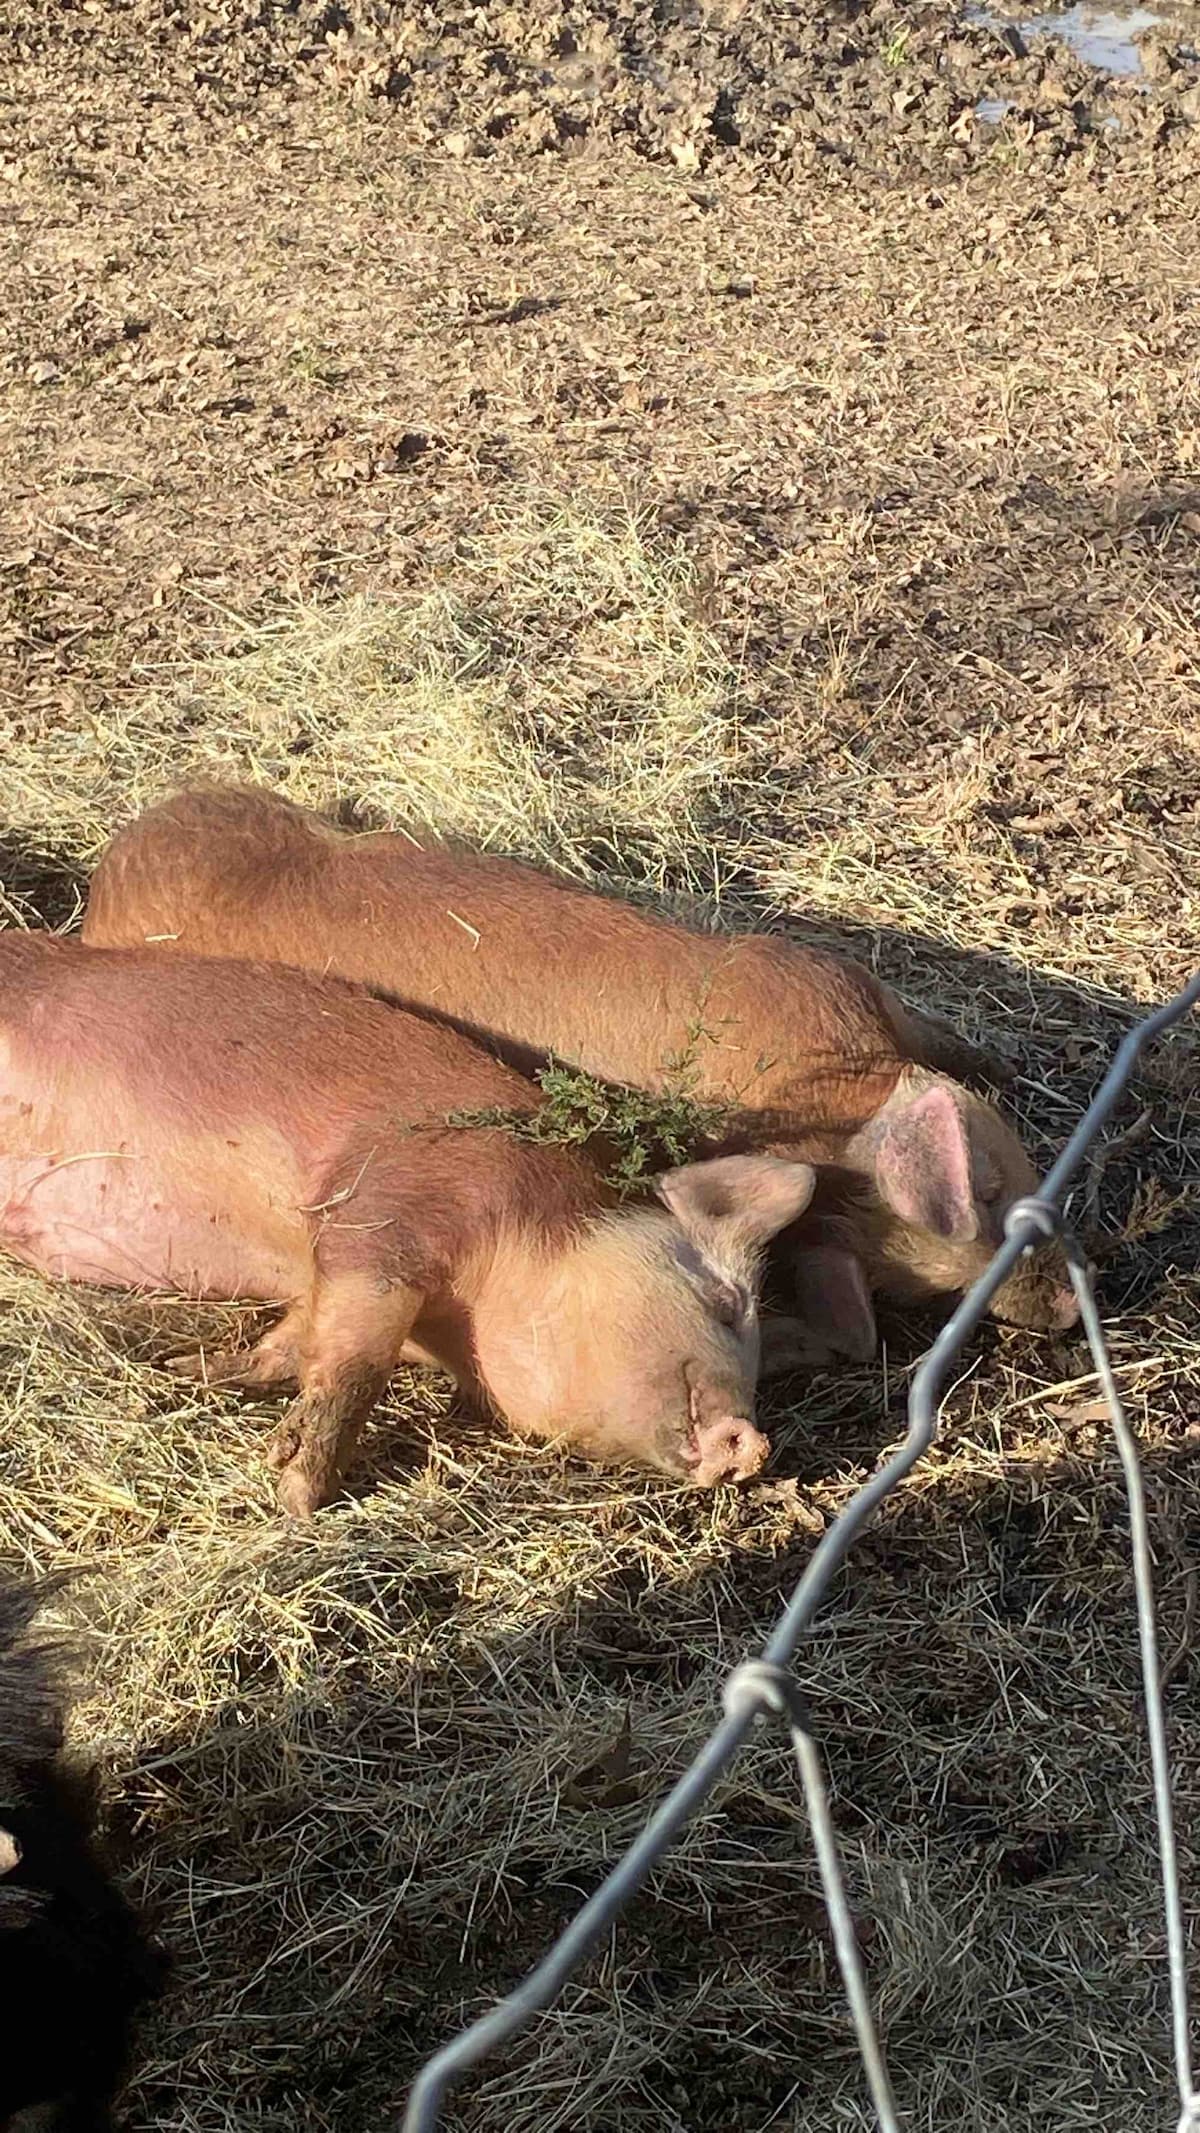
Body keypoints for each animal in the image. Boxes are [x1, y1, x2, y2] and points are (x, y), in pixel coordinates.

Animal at [0, 938, 818, 1518]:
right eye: (725, 1304)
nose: (753, 1445)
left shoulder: (331, 1274)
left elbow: (293, 1343)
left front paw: (190, 1376)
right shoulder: (391, 1208)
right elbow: (357, 1363)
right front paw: (298, 1496)